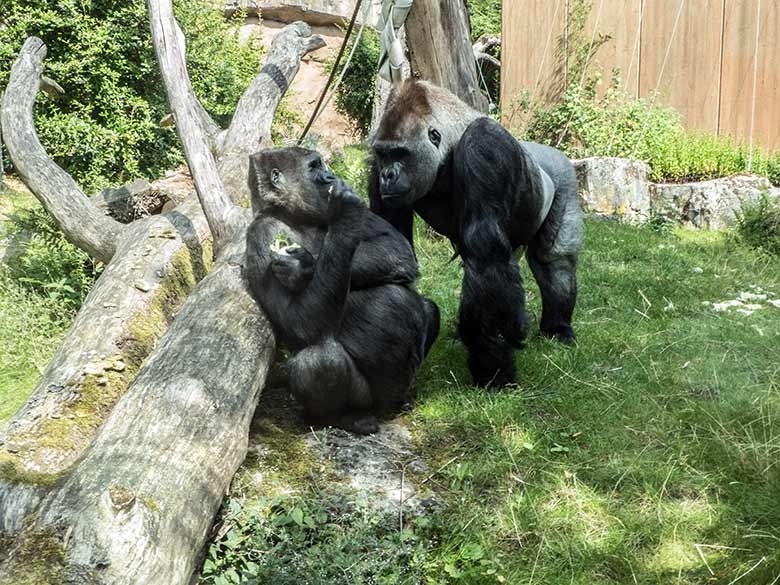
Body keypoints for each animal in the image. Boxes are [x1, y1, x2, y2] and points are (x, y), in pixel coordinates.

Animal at [245, 147, 438, 434]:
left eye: (322, 165)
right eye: (314, 167)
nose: (330, 176)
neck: (292, 214)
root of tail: (385, 409)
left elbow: (395, 247)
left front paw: (303, 265)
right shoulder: (261, 233)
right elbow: (300, 322)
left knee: (429, 308)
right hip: (367, 399)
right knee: (319, 361)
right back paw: (342, 417)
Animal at [368, 78, 580, 388]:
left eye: (400, 154)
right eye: (384, 155)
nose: (388, 176)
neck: (450, 144)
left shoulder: (484, 148)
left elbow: (485, 253)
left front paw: (491, 366)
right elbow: (389, 258)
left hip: (565, 173)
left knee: (554, 260)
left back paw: (557, 327)